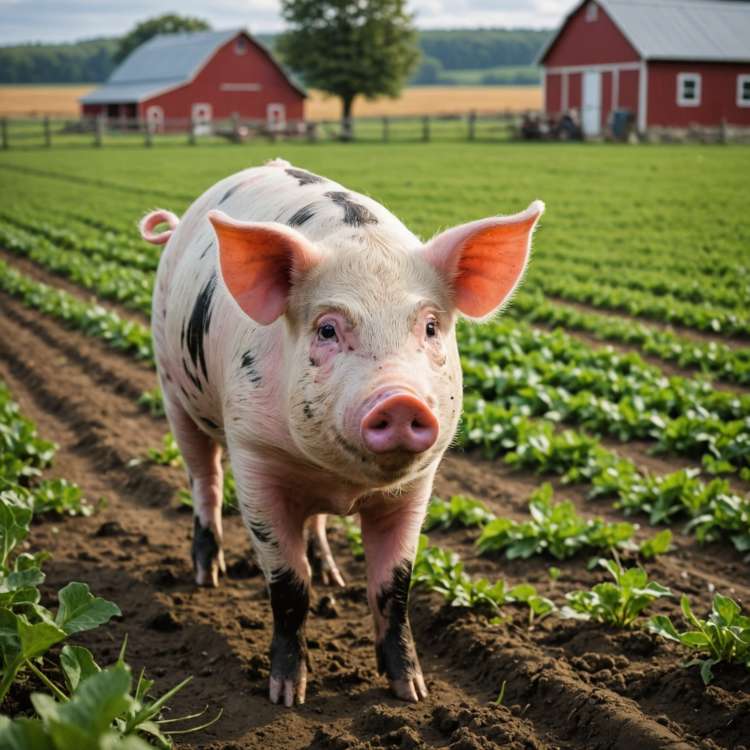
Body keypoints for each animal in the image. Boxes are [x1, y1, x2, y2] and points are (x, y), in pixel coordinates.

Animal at [140, 159, 543, 707]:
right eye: (328, 329)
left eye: (430, 327)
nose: (400, 399)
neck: (343, 480)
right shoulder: (254, 457)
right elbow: (289, 584)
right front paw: (287, 696)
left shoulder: (419, 483)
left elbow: (394, 585)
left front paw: (412, 692)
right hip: (172, 390)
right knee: (205, 480)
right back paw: (208, 576)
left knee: (312, 522)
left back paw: (332, 572)